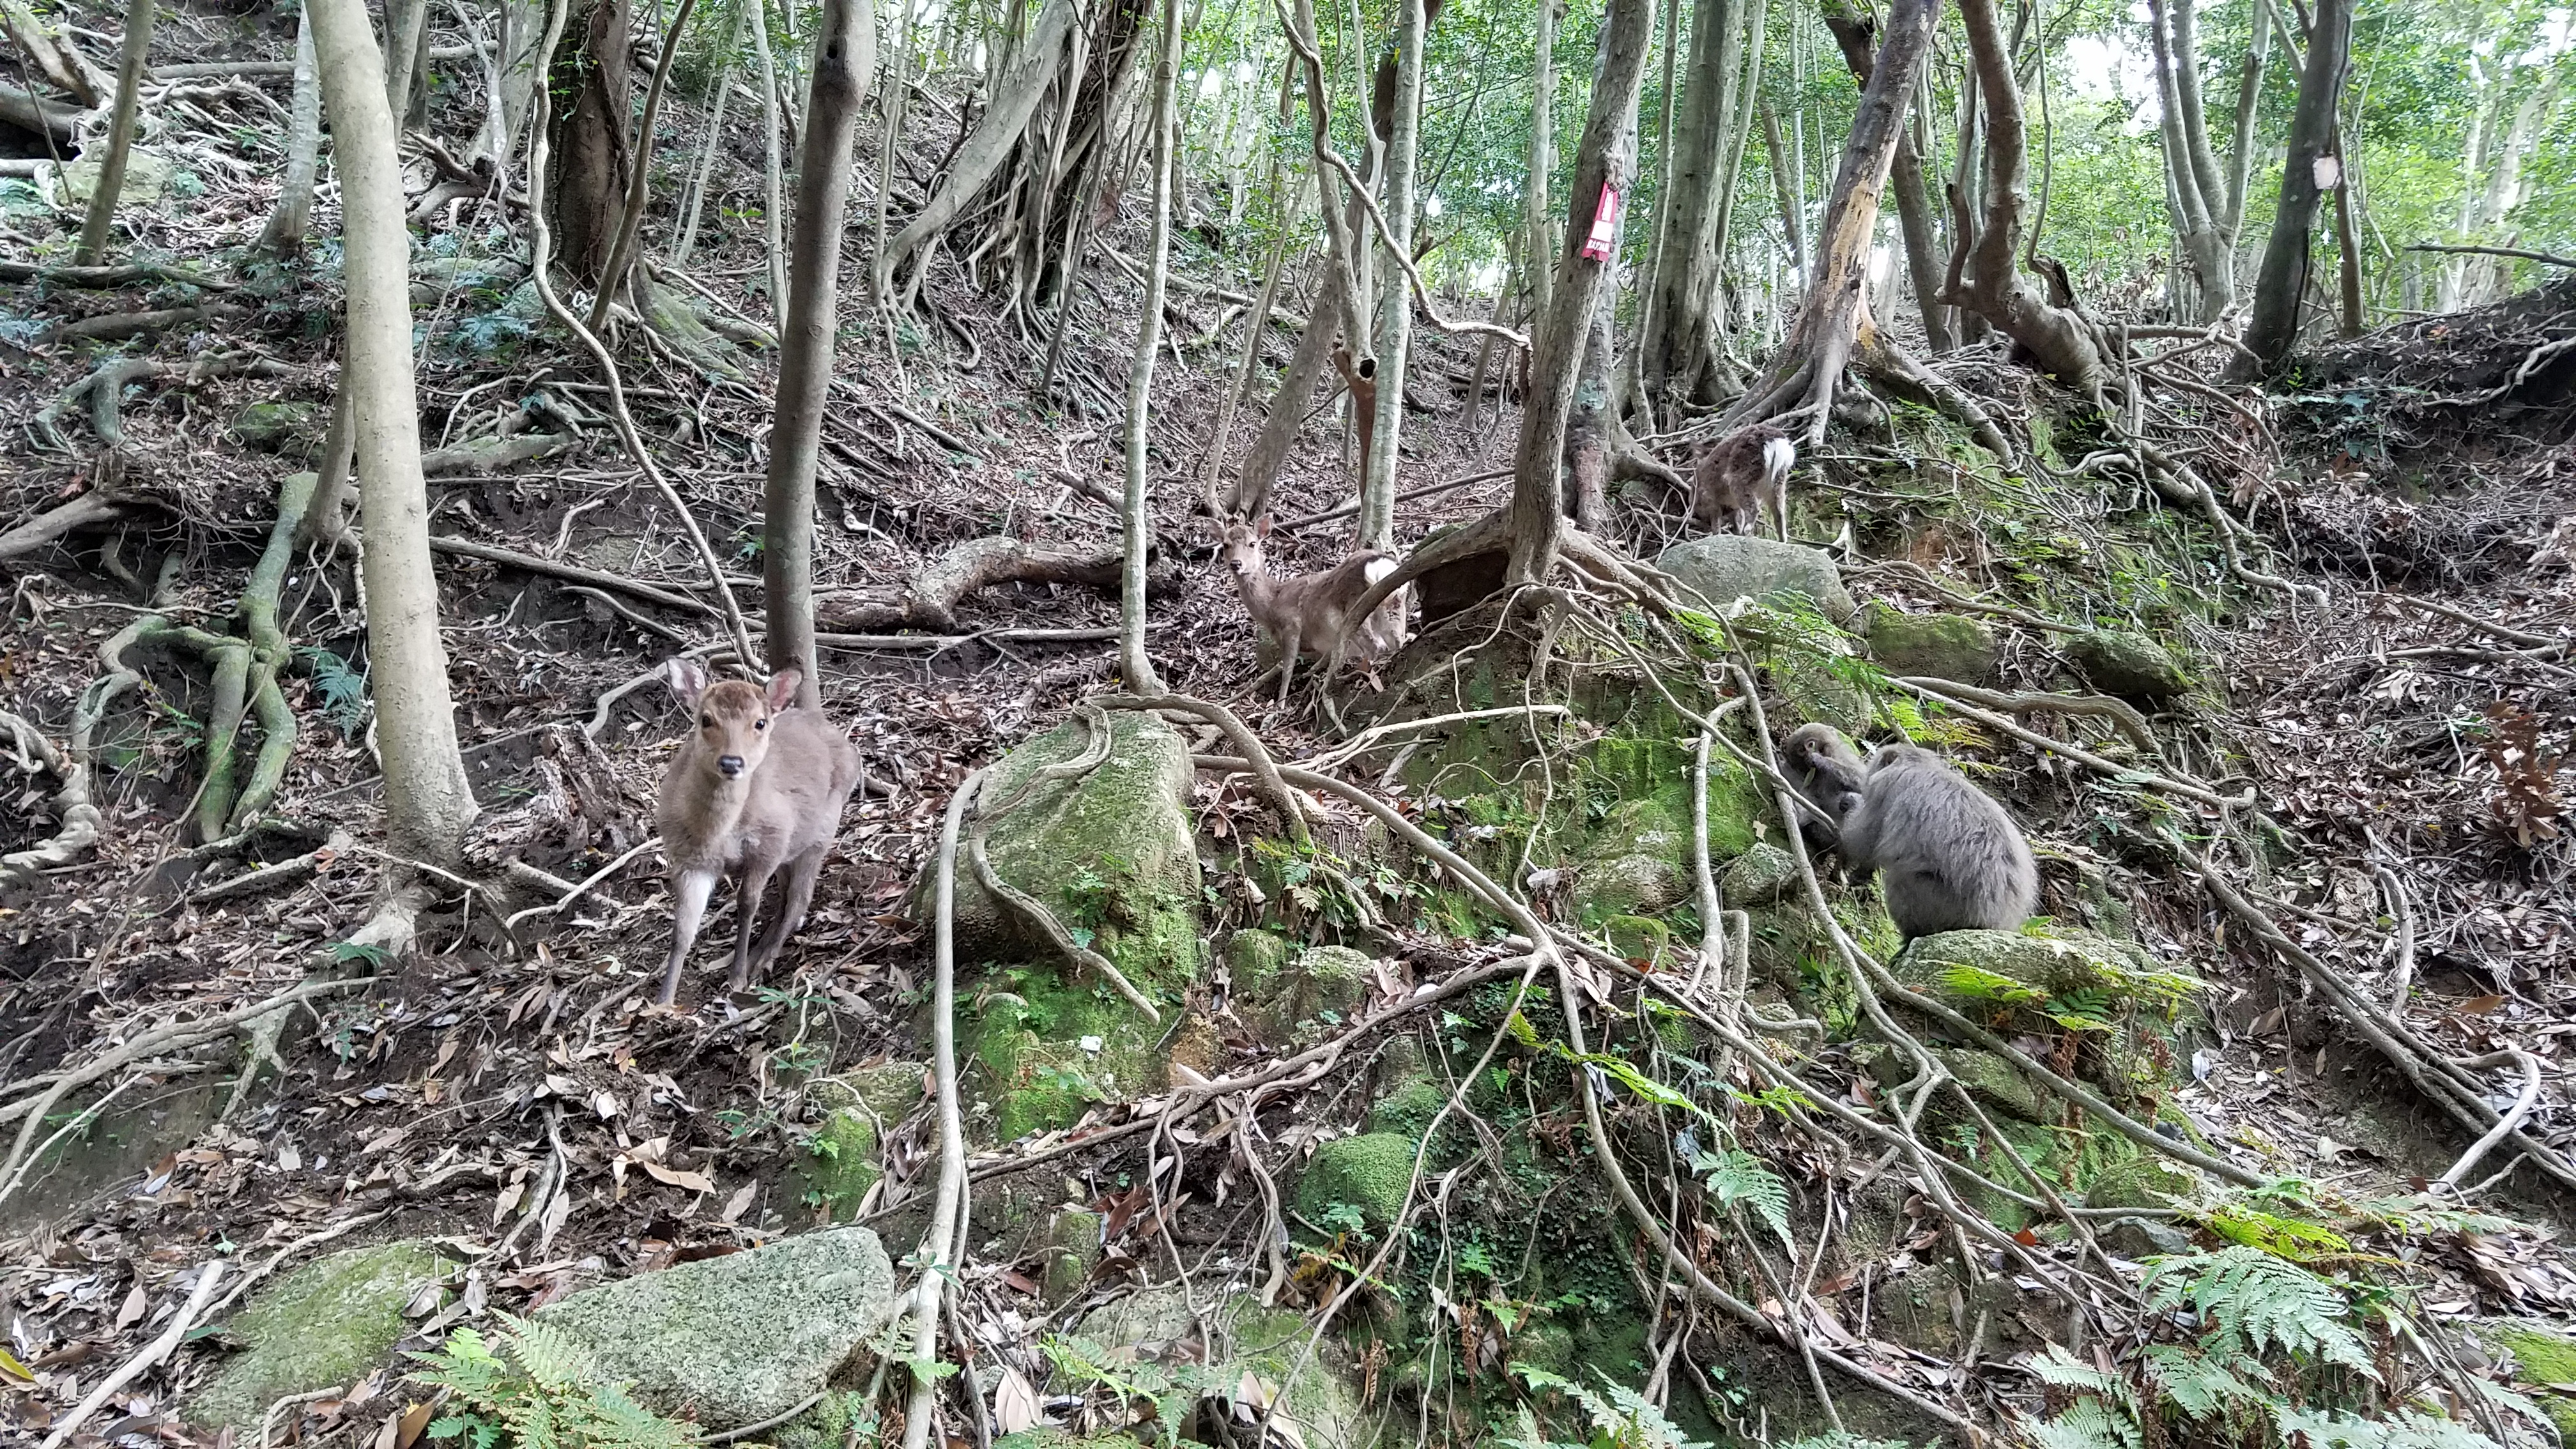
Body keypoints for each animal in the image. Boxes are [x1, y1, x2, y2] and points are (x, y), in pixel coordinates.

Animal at [654, 659, 863, 1006]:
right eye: (706, 719)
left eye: (760, 722)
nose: (731, 762)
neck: (717, 836)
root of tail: (848, 745)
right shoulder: (688, 860)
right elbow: (682, 929)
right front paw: (663, 1001)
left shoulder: (770, 842)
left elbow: (747, 905)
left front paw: (737, 978)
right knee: (787, 894)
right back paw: (761, 951)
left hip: (823, 828)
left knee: (800, 896)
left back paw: (765, 959)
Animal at [1218, 514, 1411, 704]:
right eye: (1225, 545)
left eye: (1252, 543)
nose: (1236, 563)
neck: (1272, 605)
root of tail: (1379, 569)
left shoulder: (1291, 625)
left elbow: (1288, 668)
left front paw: (1280, 703)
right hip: (1394, 608)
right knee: (1396, 642)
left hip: (1356, 614)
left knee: (1376, 646)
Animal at [1689, 422, 1797, 541]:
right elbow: (1737, 520)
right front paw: (1736, 532)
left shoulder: (1710, 497)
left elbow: (1717, 523)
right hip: (1779, 480)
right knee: (1779, 511)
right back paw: (1783, 540)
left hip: (1740, 478)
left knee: (1754, 507)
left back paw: (1747, 532)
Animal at [1780, 723, 2040, 939]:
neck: (1918, 765)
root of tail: (1991, 922)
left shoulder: (1883, 785)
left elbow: (1862, 840)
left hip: (1943, 908)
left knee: (1900, 876)